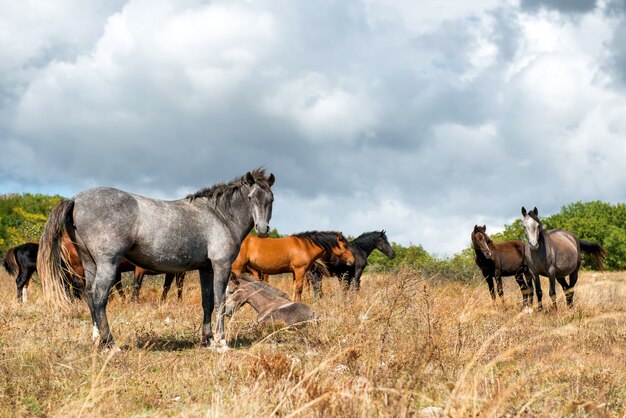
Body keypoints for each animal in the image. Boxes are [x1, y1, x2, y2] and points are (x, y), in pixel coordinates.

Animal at [37, 168, 272, 352]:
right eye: (250, 197)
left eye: (270, 199)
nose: (262, 229)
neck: (218, 216)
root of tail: (75, 200)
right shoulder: (221, 266)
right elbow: (220, 301)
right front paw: (221, 343)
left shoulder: (206, 269)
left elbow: (207, 303)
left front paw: (208, 340)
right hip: (107, 264)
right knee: (98, 297)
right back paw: (110, 343)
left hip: (90, 263)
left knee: (88, 296)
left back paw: (97, 340)